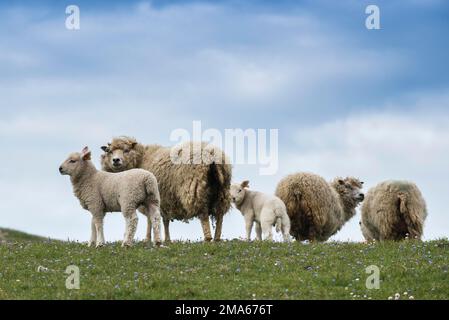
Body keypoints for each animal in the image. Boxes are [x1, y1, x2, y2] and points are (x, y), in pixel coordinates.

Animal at [100, 136, 233, 242]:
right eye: (110, 151)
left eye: (126, 150)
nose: (115, 160)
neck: (141, 159)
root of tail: (212, 154)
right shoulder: (165, 199)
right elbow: (164, 220)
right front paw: (166, 239)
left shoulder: (153, 197)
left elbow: (151, 219)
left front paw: (148, 239)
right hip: (222, 191)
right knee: (220, 215)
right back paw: (217, 238)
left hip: (195, 189)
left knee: (204, 214)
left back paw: (208, 238)